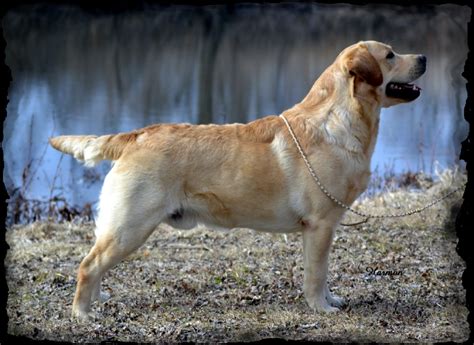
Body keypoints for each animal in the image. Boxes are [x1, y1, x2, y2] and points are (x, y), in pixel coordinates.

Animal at [51, 41, 426, 320]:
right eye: (390, 55)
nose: (423, 57)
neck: (339, 122)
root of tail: (137, 135)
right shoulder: (319, 225)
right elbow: (317, 273)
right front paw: (321, 307)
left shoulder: (319, 230)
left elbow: (320, 272)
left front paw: (329, 299)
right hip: (131, 225)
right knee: (88, 265)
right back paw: (82, 313)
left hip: (123, 228)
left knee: (96, 264)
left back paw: (98, 300)